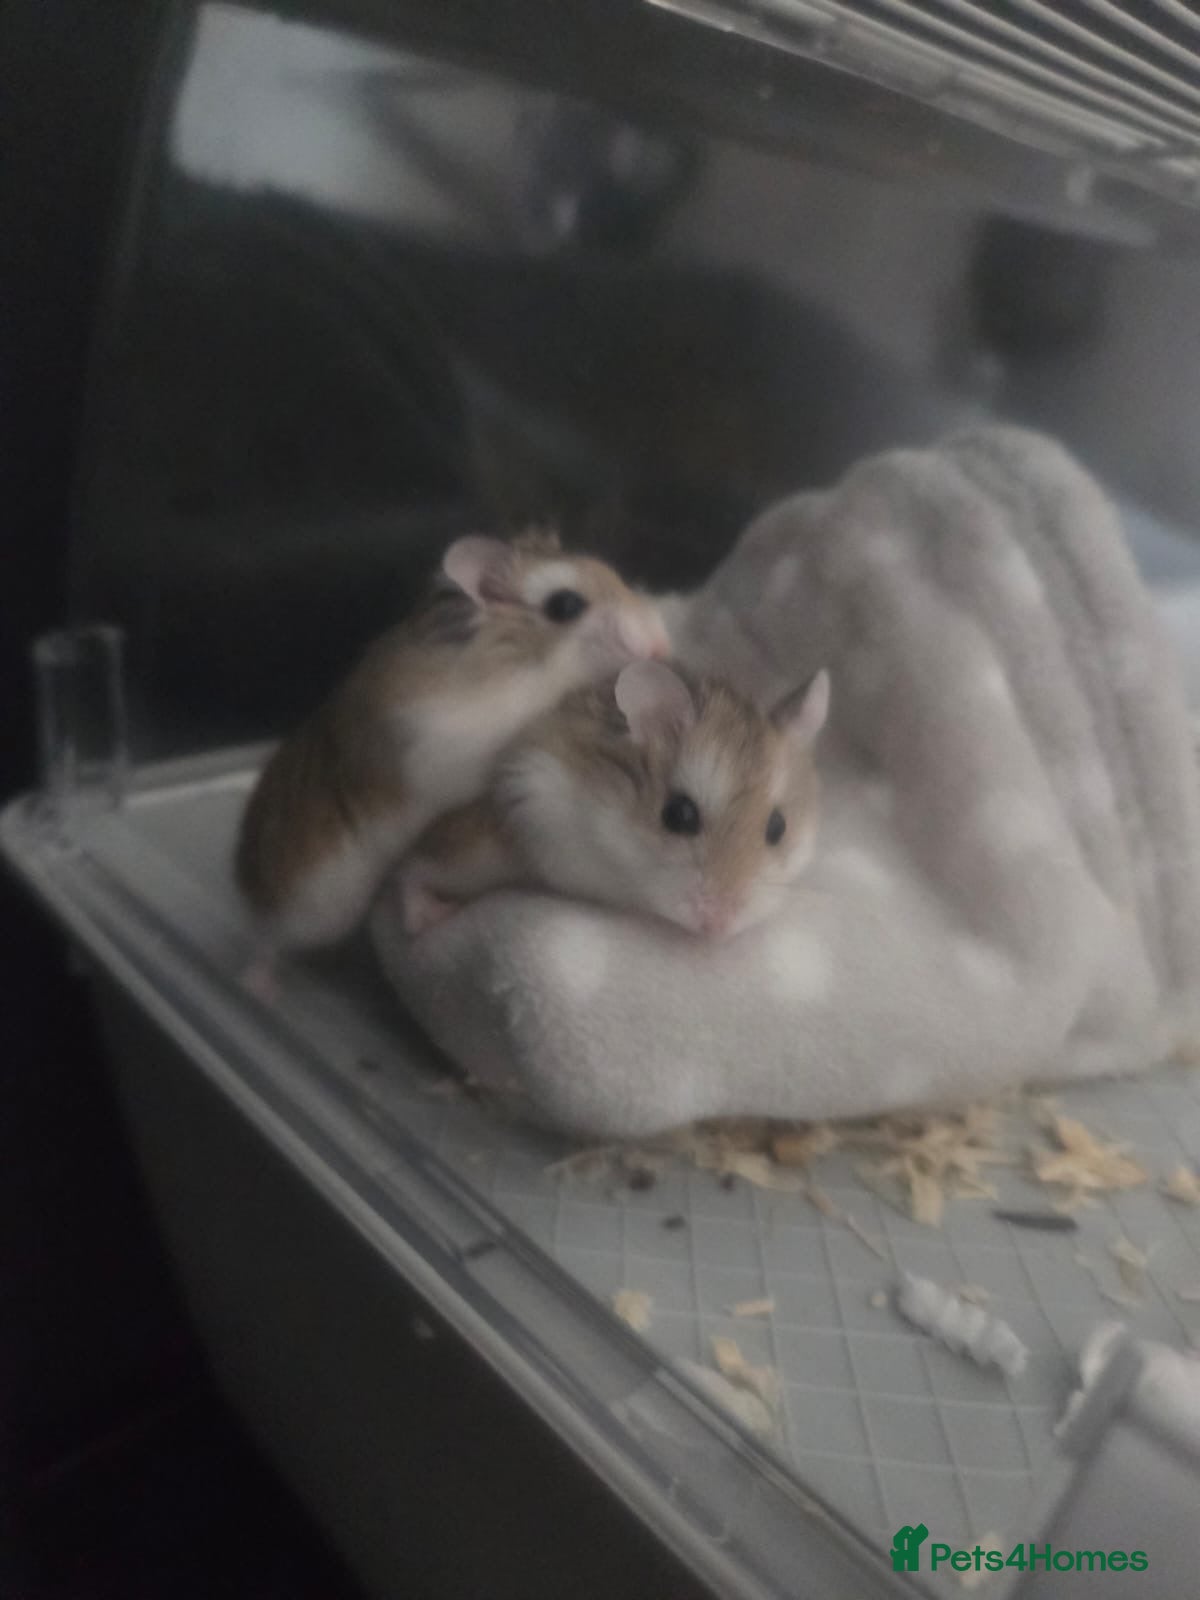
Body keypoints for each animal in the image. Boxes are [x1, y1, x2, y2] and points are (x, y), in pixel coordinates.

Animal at [235, 529, 669, 984]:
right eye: (565, 605)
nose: (661, 646)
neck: (527, 668)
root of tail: (244, 882)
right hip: (315, 910)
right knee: (264, 943)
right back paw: (258, 984)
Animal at [397, 658, 830, 940]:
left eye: (778, 828)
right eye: (679, 815)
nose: (717, 926)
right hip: (479, 851)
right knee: (414, 868)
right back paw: (426, 919)